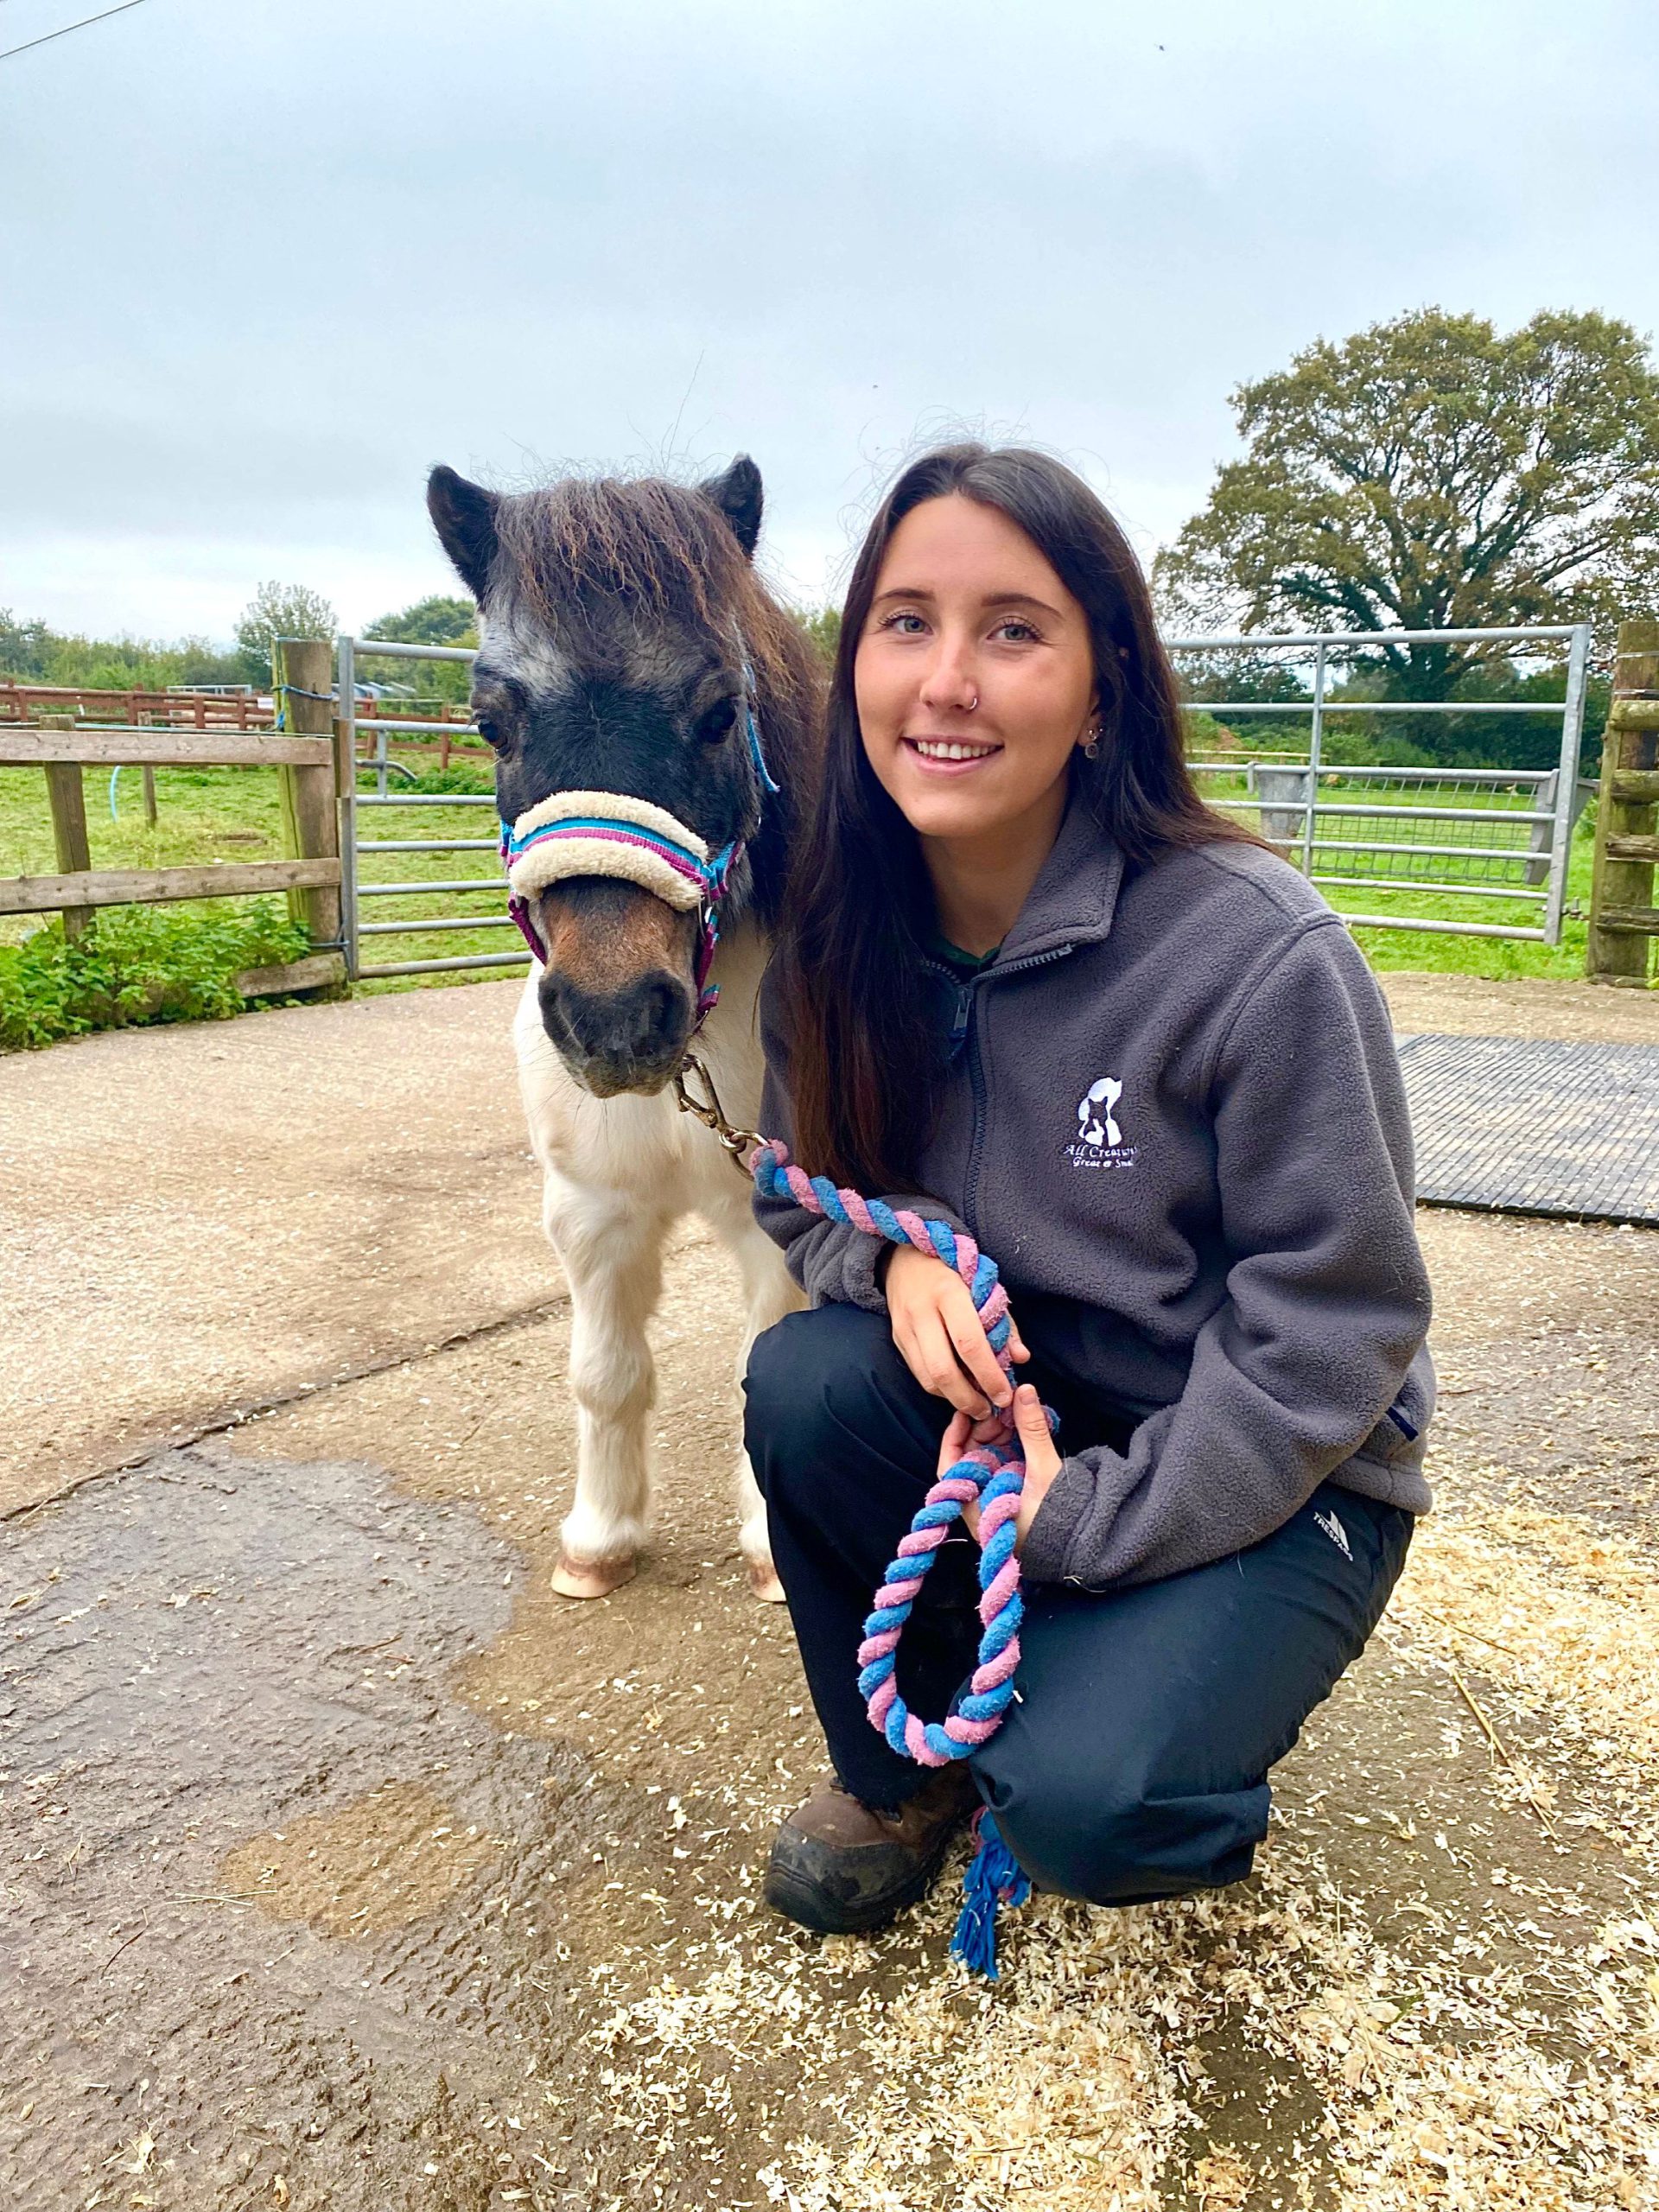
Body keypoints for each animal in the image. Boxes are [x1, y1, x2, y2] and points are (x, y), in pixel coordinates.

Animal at [424, 457, 823, 1601]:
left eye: (720, 710)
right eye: (490, 724)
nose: (613, 1018)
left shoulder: (778, 1223)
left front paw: (772, 1550)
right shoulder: (592, 1210)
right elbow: (604, 1374)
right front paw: (599, 1540)